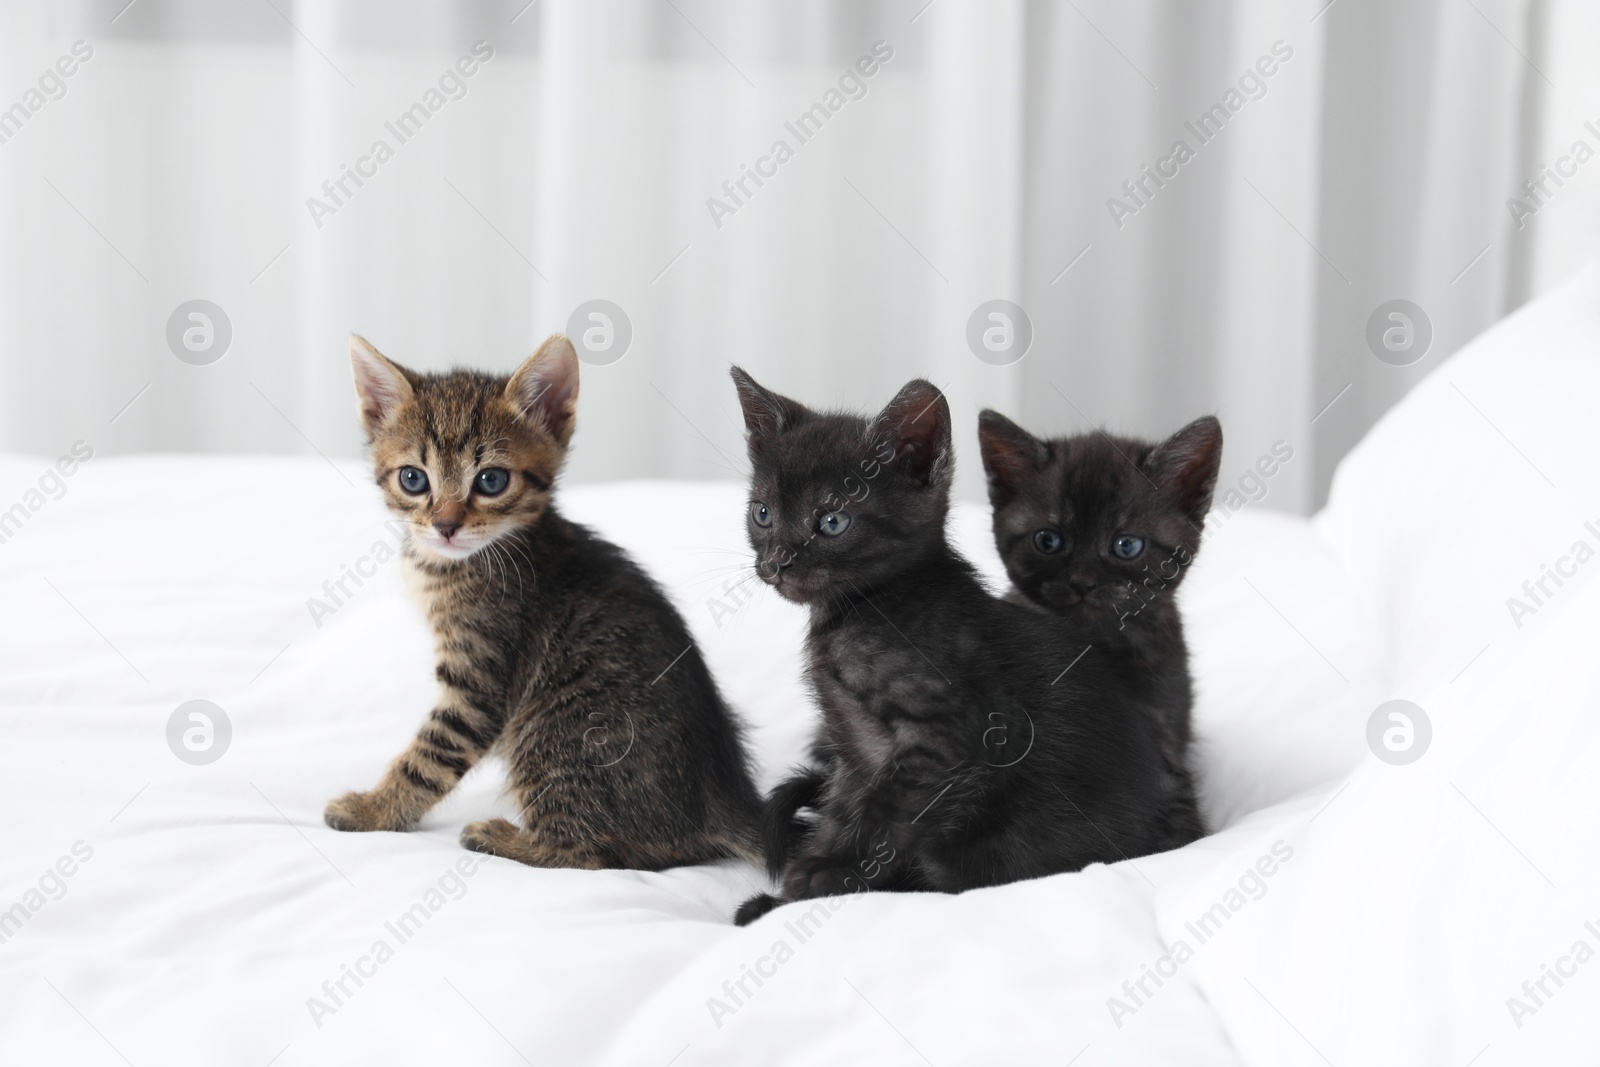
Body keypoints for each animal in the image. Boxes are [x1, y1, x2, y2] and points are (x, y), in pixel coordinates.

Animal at [324, 335, 761, 876]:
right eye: (413, 479)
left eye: (491, 481)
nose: (445, 525)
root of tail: (720, 802)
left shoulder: (480, 683)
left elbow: (428, 759)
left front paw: (373, 810)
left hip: (549, 734)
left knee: (593, 854)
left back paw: (502, 838)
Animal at [732, 371, 1184, 921]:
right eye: (762, 514)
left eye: (832, 522)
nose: (776, 563)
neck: (867, 606)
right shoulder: (852, 752)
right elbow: (842, 812)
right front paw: (794, 892)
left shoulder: (948, 734)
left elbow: (883, 816)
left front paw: (820, 879)